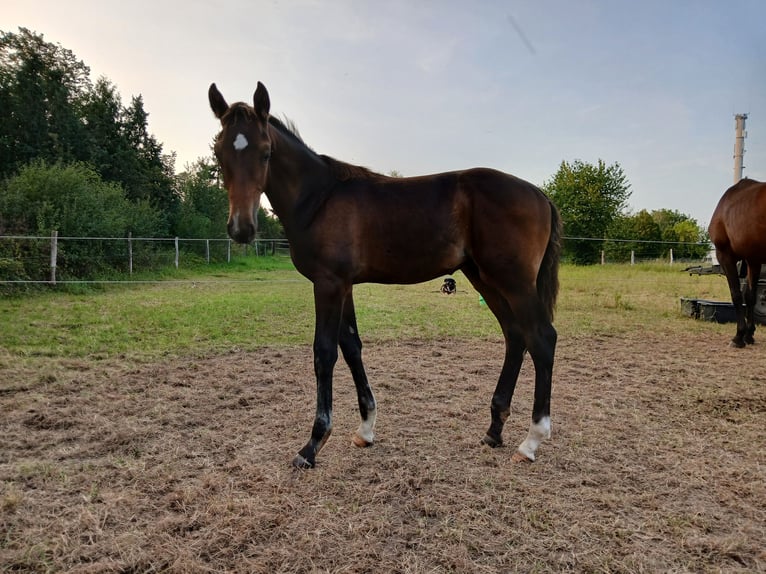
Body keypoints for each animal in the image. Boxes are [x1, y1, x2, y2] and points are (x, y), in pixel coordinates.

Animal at [210, 82, 564, 468]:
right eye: (219, 154)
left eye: (265, 153)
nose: (241, 228)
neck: (319, 198)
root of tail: (540, 194)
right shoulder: (344, 285)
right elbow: (351, 347)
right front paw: (365, 429)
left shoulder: (328, 284)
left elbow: (324, 353)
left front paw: (313, 444)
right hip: (484, 277)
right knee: (515, 336)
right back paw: (494, 430)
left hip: (514, 282)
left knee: (541, 338)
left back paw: (531, 442)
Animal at [712, 178, 764, 346]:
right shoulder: (753, 260)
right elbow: (750, 296)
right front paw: (749, 334)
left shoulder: (725, 255)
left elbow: (736, 295)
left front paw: (738, 336)